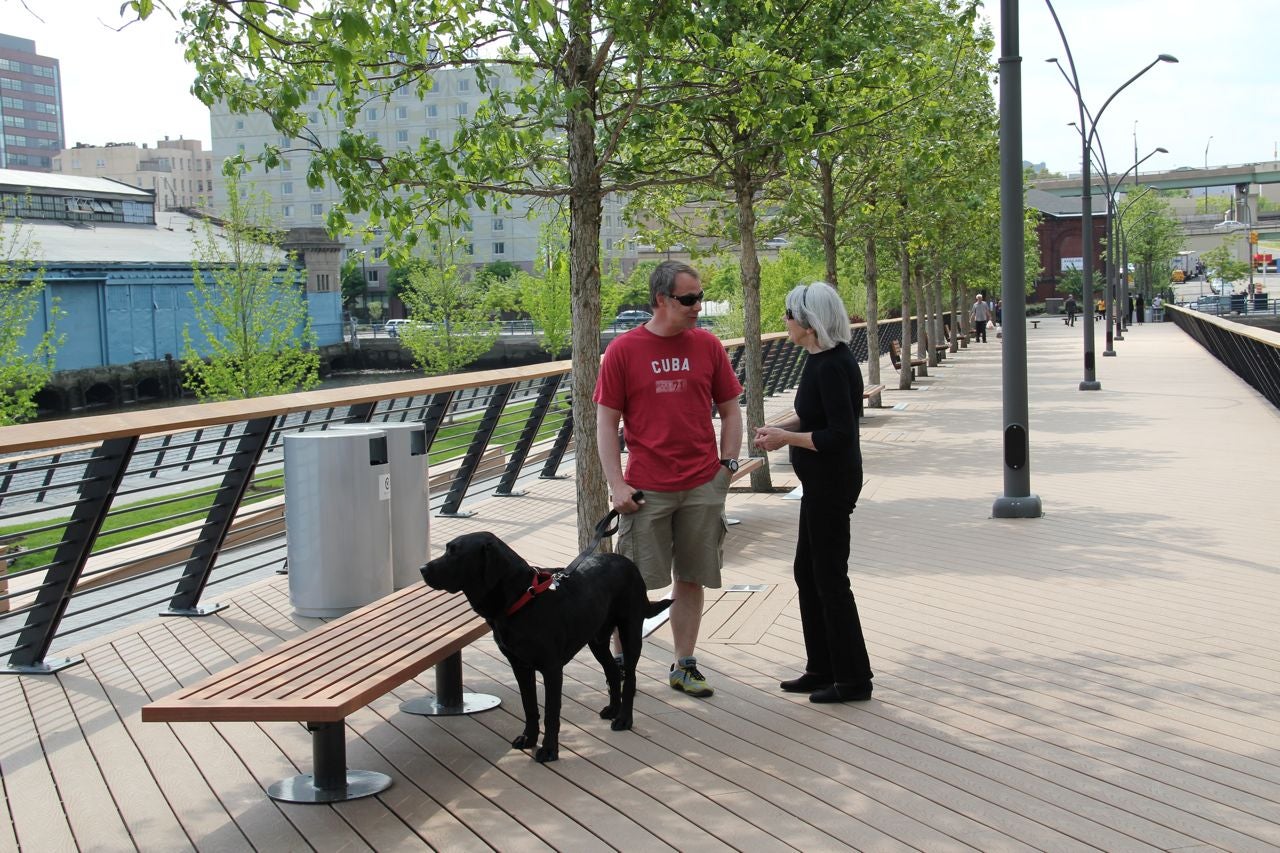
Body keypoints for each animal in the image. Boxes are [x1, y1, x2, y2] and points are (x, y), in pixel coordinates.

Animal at [424, 527, 675, 758]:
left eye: (455, 552)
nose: (422, 569)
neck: (522, 599)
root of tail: (628, 562)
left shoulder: (551, 668)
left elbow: (551, 712)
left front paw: (549, 750)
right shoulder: (520, 666)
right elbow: (530, 706)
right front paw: (529, 738)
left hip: (629, 631)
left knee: (630, 677)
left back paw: (624, 718)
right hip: (596, 639)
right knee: (613, 672)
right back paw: (613, 709)